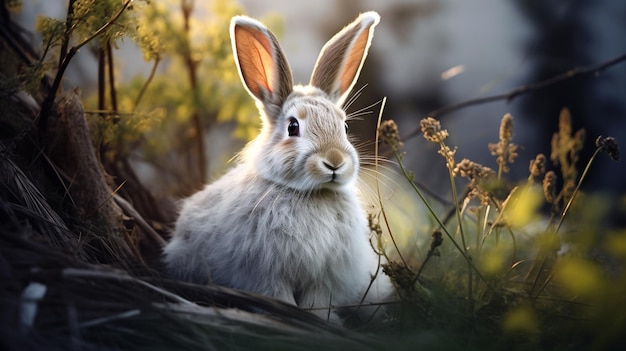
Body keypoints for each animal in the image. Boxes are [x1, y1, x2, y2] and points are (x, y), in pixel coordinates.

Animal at [163, 11, 392, 324]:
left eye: (344, 127)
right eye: (293, 127)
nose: (334, 161)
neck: (311, 194)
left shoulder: (324, 280)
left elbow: (319, 302)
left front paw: (322, 323)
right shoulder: (266, 274)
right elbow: (278, 296)